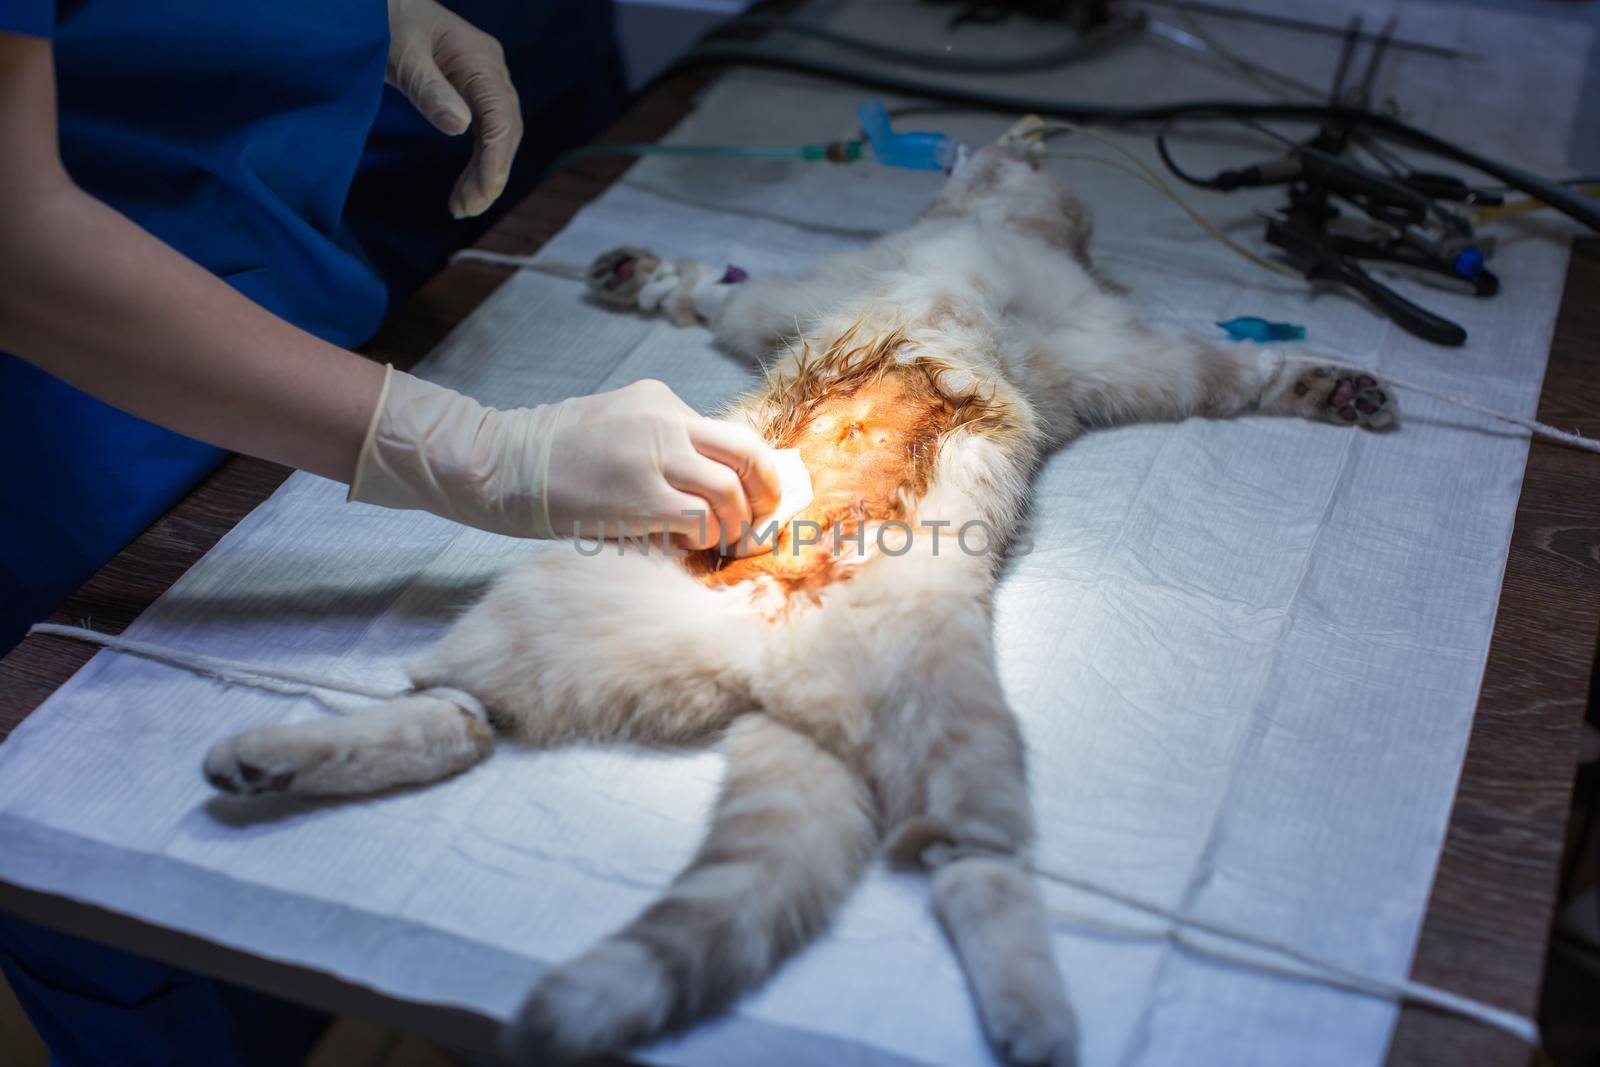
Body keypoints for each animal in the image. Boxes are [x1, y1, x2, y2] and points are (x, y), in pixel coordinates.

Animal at [203, 143, 1401, 1067]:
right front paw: (650, 274)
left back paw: (1032, 1012)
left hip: (947, 707)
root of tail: (764, 660)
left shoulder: (1103, 343)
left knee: (972, 853)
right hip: (565, 606)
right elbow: (721, 291)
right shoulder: (833, 293)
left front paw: (1320, 382)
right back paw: (271, 757)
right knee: (464, 716)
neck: (987, 231)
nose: (973, 146)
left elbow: (1218, 369)